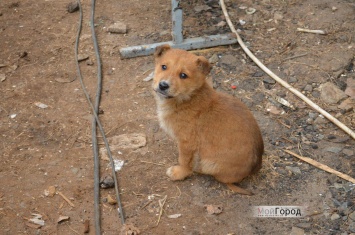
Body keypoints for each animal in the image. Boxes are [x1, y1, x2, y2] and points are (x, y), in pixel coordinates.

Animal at [153, 44, 264, 195]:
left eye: (183, 75)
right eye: (163, 67)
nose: (163, 85)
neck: (188, 98)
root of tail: (254, 169)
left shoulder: (186, 143)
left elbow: (184, 161)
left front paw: (179, 173)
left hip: (209, 163)